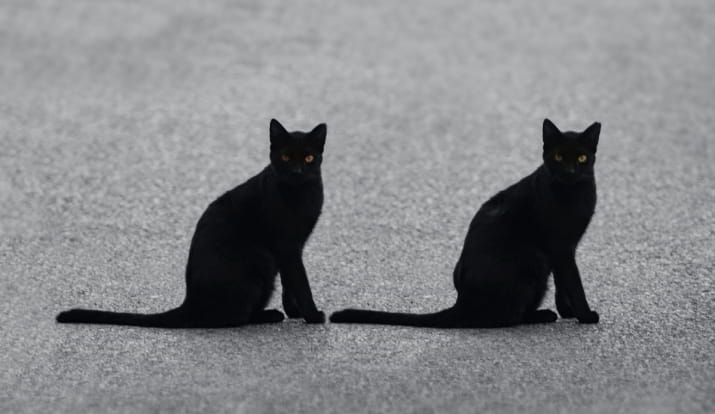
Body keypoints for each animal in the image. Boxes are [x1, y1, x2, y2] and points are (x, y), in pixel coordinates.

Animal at [58, 119, 328, 326]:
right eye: (286, 157)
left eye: (308, 157)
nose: (297, 171)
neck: (302, 195)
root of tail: (190, 301)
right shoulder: (287, 246)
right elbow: (300, 282)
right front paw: (313, 316)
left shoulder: (293, 247)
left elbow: (290, 283)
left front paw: (296, 312)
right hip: (261, 260)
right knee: (232, 318)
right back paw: (268, 316)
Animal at [332, 119, 600, 326]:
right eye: (559, 157)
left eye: (582, 157)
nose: (571, 171)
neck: (575, 193)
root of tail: (461, 303)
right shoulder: (560, 247)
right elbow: (574, 282)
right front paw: (586, 316)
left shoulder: (566, 248)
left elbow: (563, 283)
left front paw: (569, 312)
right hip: (535, 258)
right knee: (505, 318)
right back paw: (541, 316)